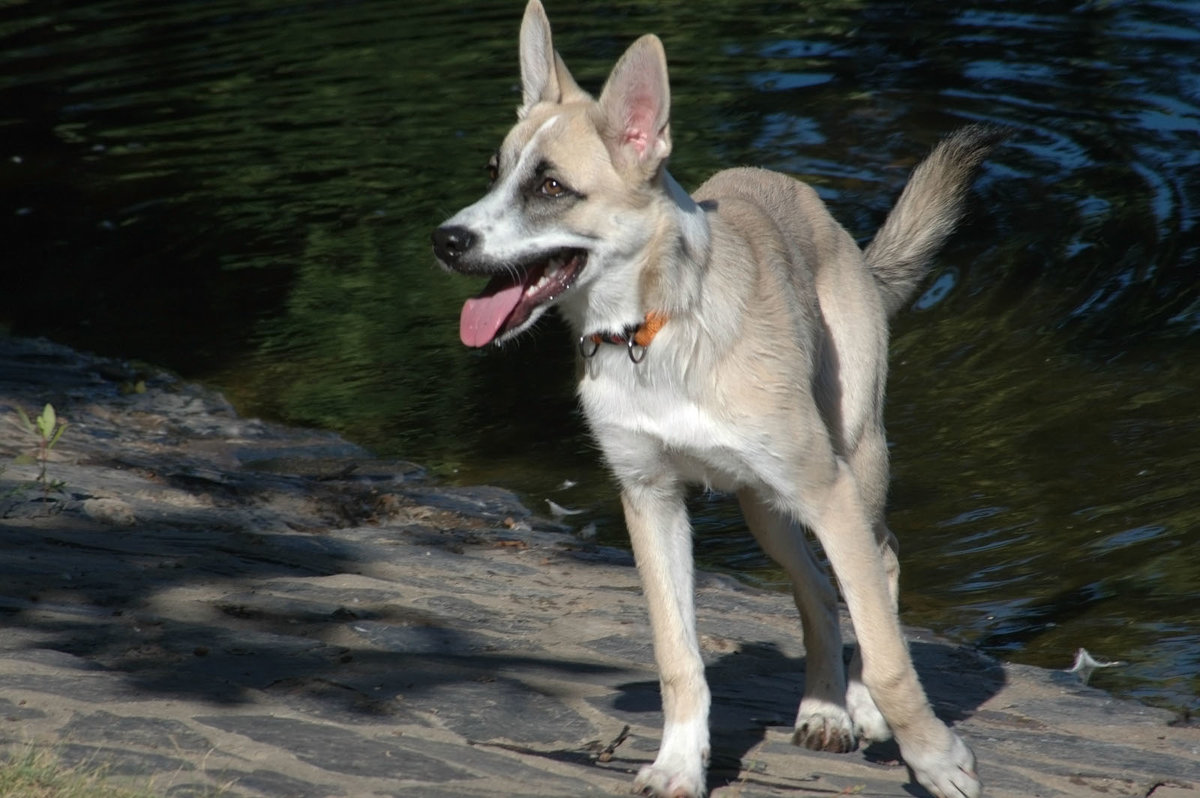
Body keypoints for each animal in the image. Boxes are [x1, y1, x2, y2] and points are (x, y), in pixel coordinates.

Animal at [434, 3, 1003, 792]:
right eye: (494, 173)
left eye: (549, 188)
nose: (445, 240)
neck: (653, 328)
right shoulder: (650, 500)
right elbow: (679, 658)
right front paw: (679, 761)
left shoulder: (825, 493)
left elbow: (889, 653)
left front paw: (937, 756)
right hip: (767, 507)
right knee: (816, 591)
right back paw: (825, 707)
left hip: (848, 475)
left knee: (879, 569)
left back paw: (862, 707)